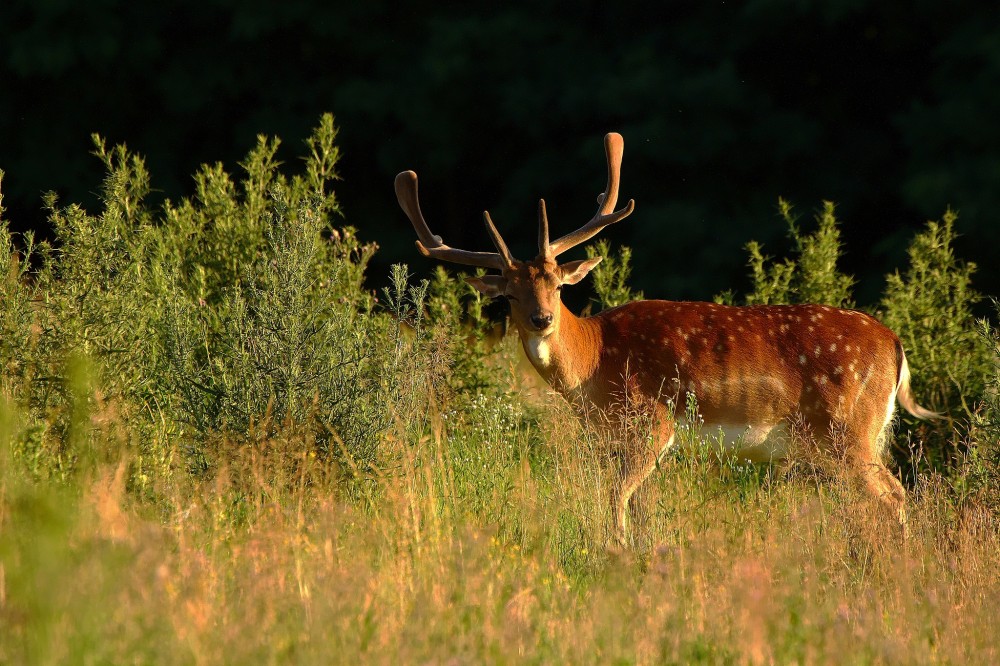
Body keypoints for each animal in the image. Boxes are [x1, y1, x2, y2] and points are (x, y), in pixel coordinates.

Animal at [394, 131, 940, 544]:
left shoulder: (651, 419)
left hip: (848, 427)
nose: (542, 318)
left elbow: (617, 497)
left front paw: (618, 550)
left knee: (895, 493)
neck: (594, 363)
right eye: (508, 293)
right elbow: (626, 500)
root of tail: (895, 345)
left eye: (557, 282)